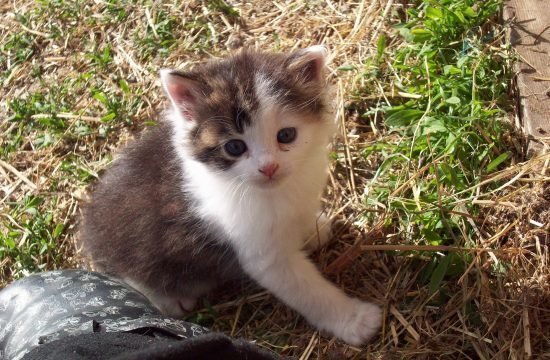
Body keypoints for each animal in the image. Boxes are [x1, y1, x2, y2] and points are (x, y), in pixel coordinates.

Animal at [80, 46, 384, 344]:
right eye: (235, 147)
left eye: (286, 135)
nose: (268, 168)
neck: (273, 191)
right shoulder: (264, 256)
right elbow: (307, 291)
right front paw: (355, 320)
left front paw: (313, 230)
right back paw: (170, 299)